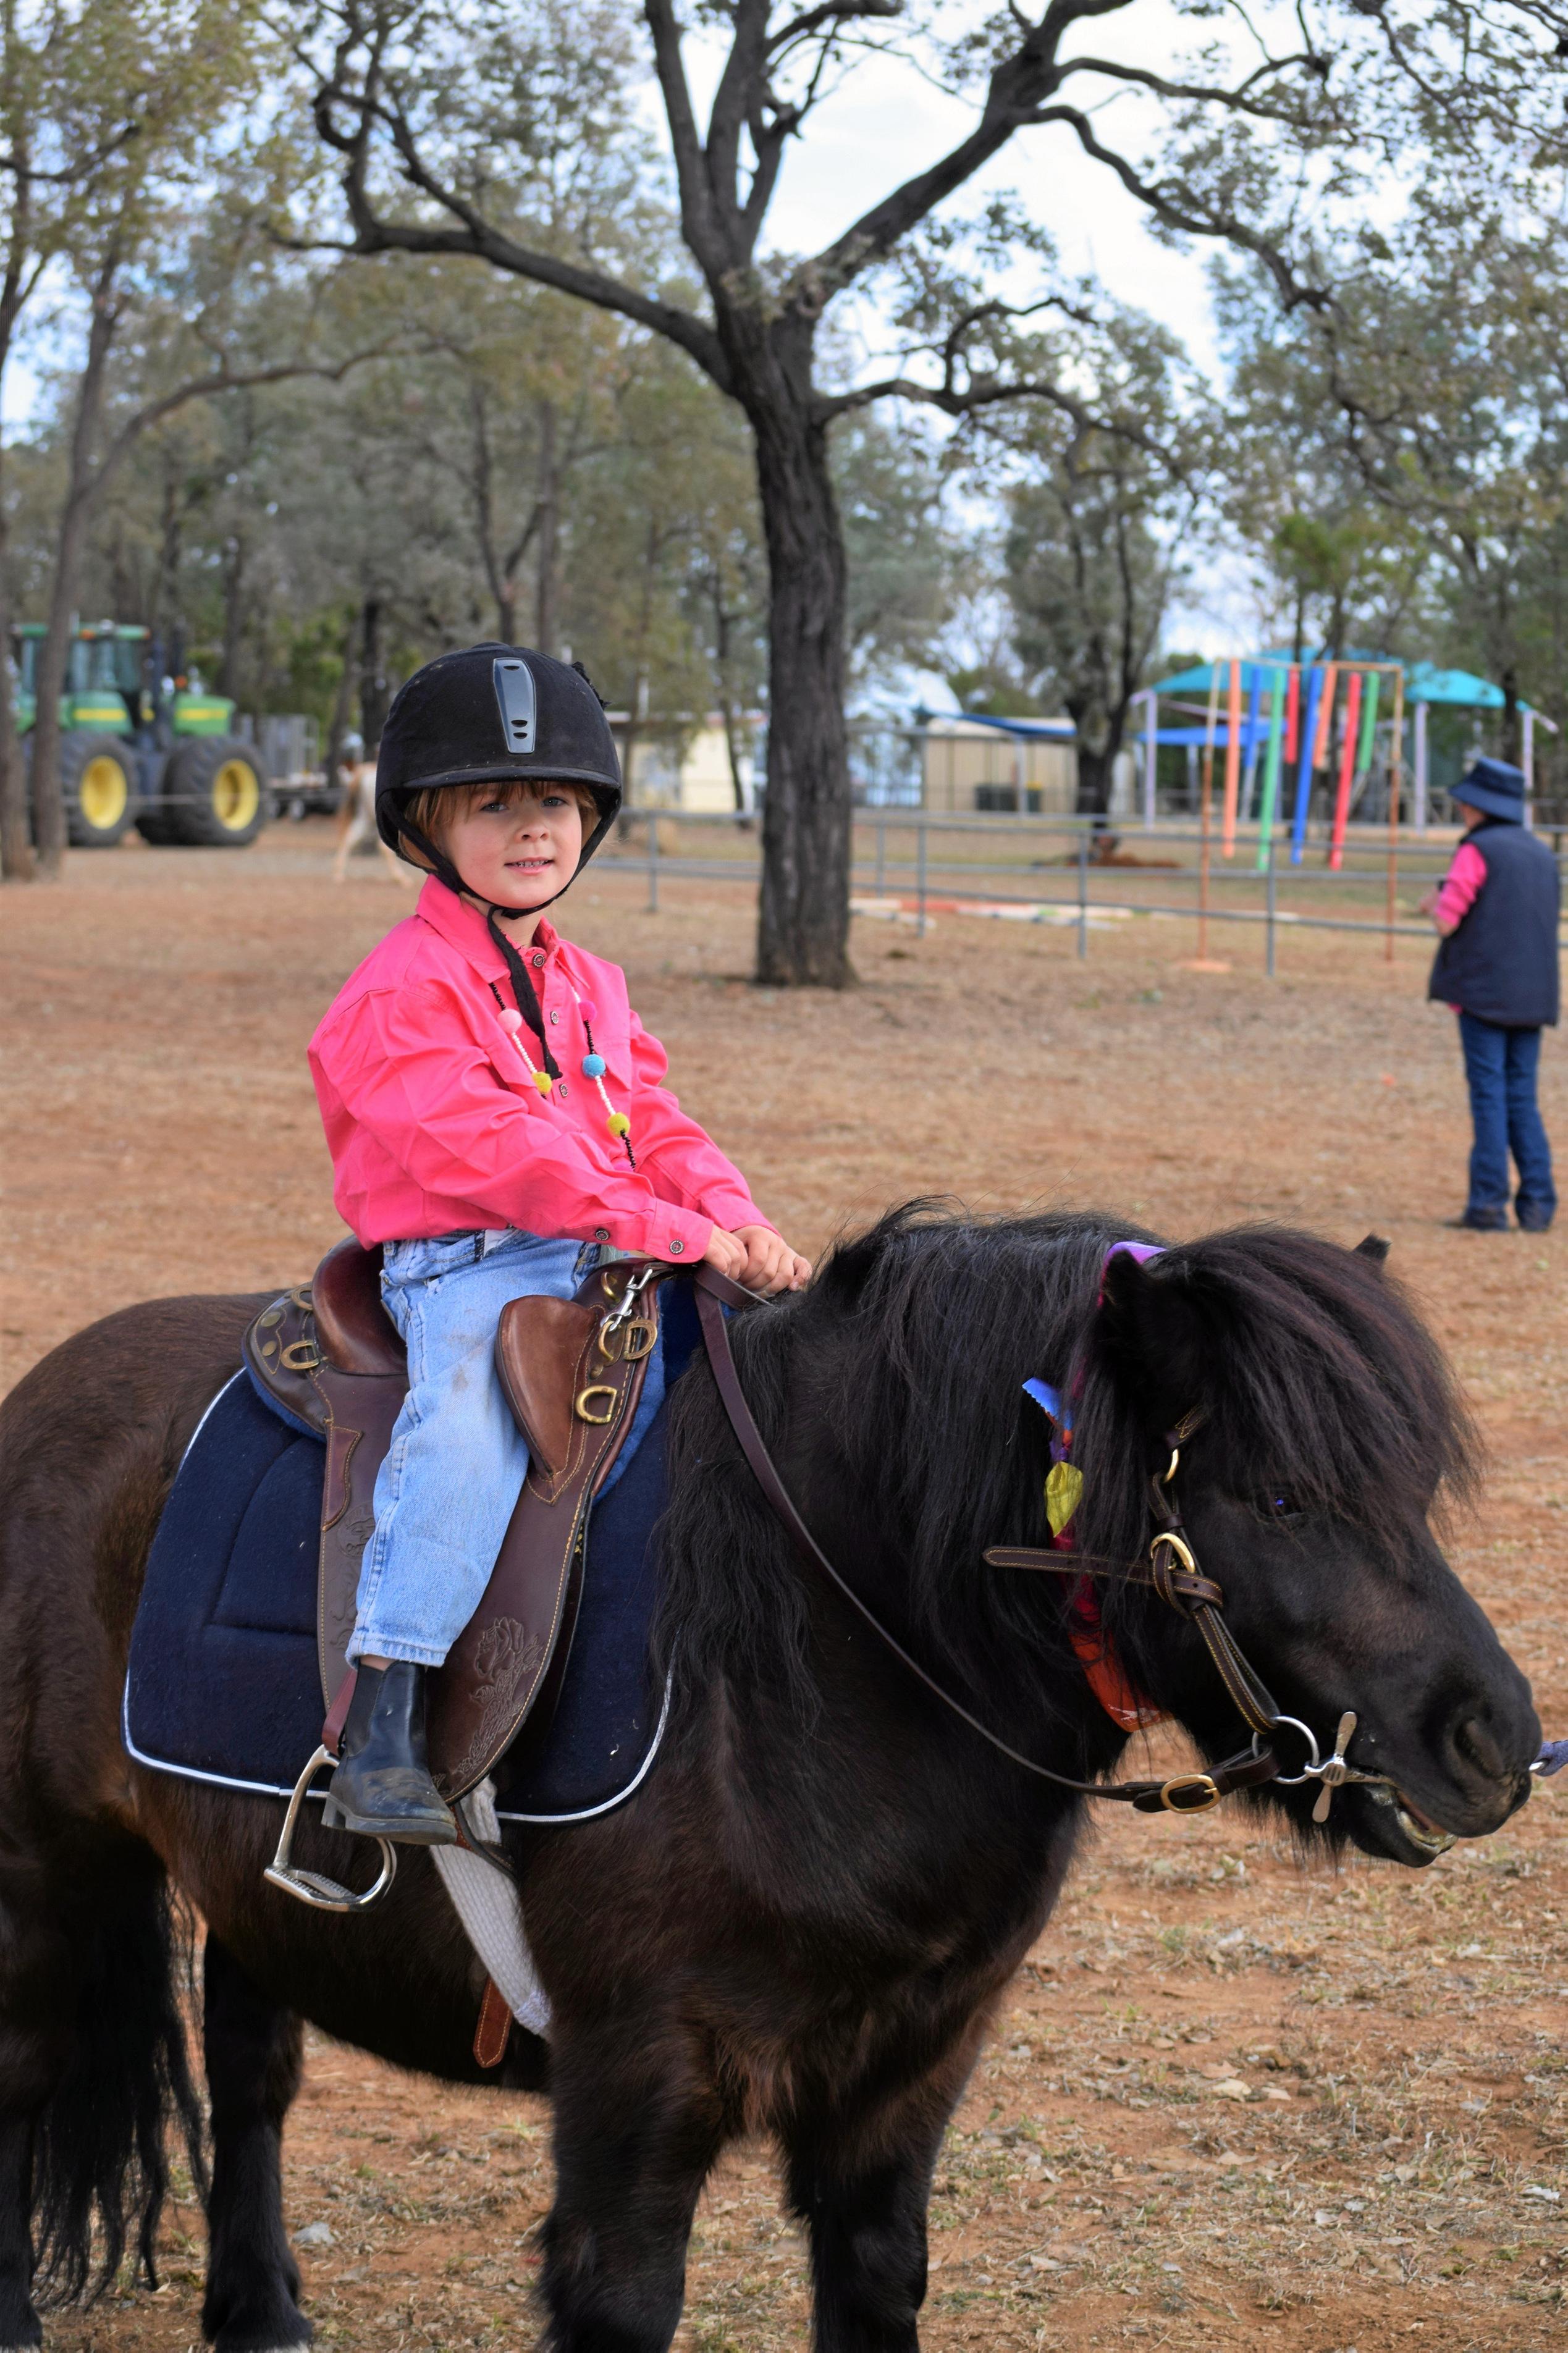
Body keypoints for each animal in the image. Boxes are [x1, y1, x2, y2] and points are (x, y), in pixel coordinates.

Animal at [0, 1214, 1535, 2353]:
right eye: (1280, 1496)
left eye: (1410, 1482)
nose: (1500, 1739)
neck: (801, 1644)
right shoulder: (636, 2078)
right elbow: (624, 2299)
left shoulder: (907, 2075)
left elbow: (879, 2278)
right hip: (49, 1871)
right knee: (30, 2078)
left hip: (256, 1882)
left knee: (251, 2074)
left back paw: (260, 2310)